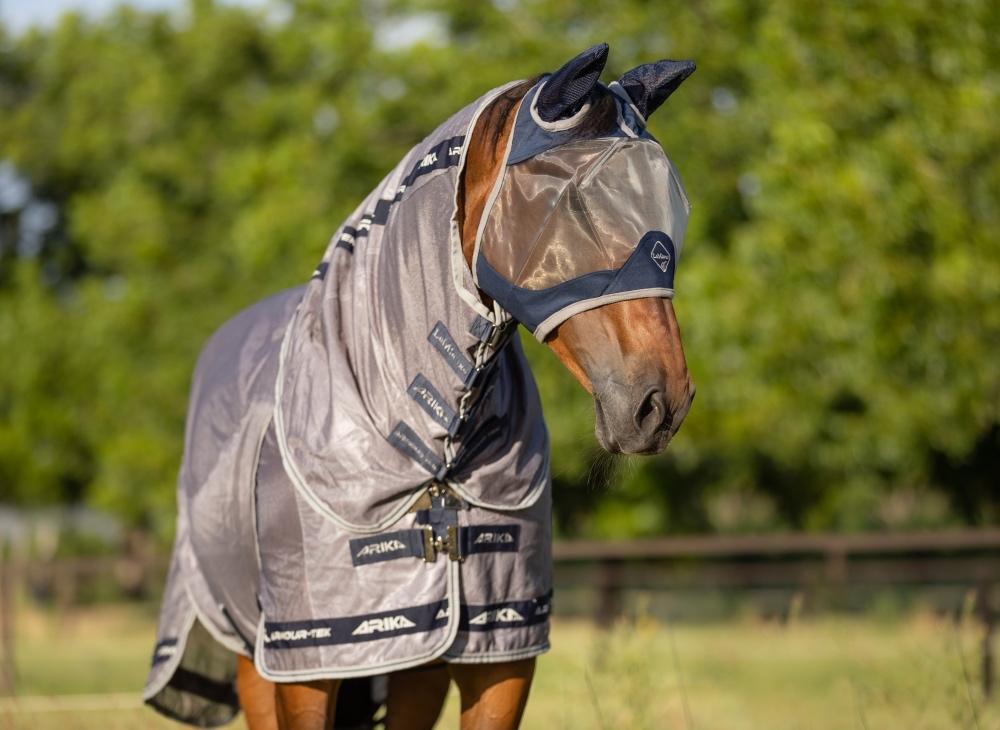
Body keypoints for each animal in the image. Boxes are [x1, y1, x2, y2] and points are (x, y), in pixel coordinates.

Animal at [144, 43, 696, 730]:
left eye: (672, 212)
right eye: (573, 203)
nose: (661, 403)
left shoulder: (499, 653)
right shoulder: (310, 662)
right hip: (254, 657)